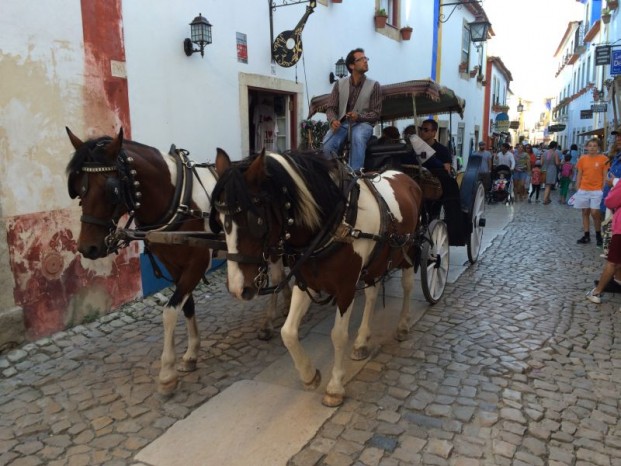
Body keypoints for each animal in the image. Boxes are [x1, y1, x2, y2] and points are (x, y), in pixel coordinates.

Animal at [64, 129, 292, 396]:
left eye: (111, 190)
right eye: (78, 189)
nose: (87, 248)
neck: (177, 199)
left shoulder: (197, 262)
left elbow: (170, 311)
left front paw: (167, 373)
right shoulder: (173, 265)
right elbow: (187, 306)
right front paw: (191, 353)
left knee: (275, 276)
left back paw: (269, 321)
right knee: (279, 277)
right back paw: (286, 304)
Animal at [212, 150, 422, 408]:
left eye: (256, 220)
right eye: (219, 220)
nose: (237, 288)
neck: (334, 224)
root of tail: (402, 174)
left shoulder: (346, 289)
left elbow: (338, 335)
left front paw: (335, 387)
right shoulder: (306, 282)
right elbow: (288, 332)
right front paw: (309, 375)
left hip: (408, 251)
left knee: (407, 285)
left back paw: (402, 325)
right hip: (376, 262)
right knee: (372, 293)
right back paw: (362, 341)